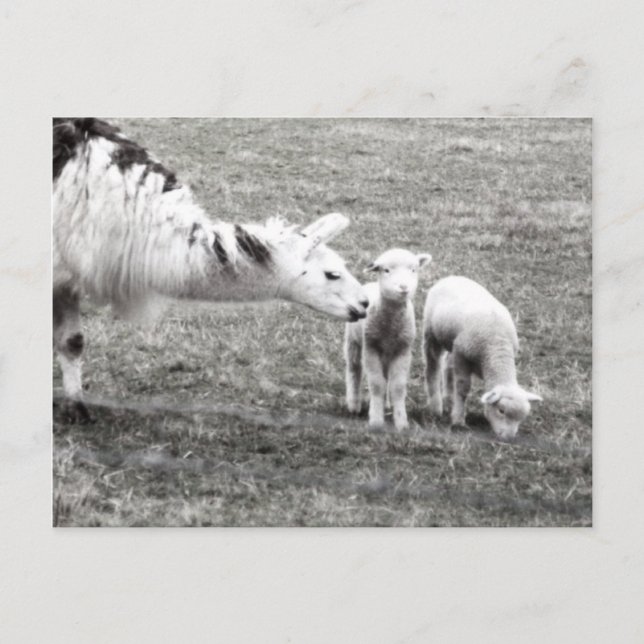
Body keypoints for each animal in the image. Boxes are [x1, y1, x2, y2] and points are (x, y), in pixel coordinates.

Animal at [344, 249, 432, 431]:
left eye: (413, 270)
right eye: (386, 270)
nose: (404, 287)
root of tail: (370, 285)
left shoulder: (403, 350)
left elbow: (397, 386)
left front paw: (401, 423)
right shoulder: (370, 348)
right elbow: (377, 384)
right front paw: (376, 421)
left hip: (386, 353)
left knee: (385, 377)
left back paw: (385, 405)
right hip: (353, 341)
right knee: (354, 369)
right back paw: (353, 405)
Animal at [422, 275, 542, 440]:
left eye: (522, 417)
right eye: (501, 410)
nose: (508, 437)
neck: (496, 345)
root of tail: (452, 277)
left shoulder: (460, 350)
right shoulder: (462, 356)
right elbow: (463, 388)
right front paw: (458, 420)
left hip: (454, 342)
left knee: (448, 364)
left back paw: (448, 398)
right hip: (431, 333)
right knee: (433, 364)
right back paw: (436, 406)